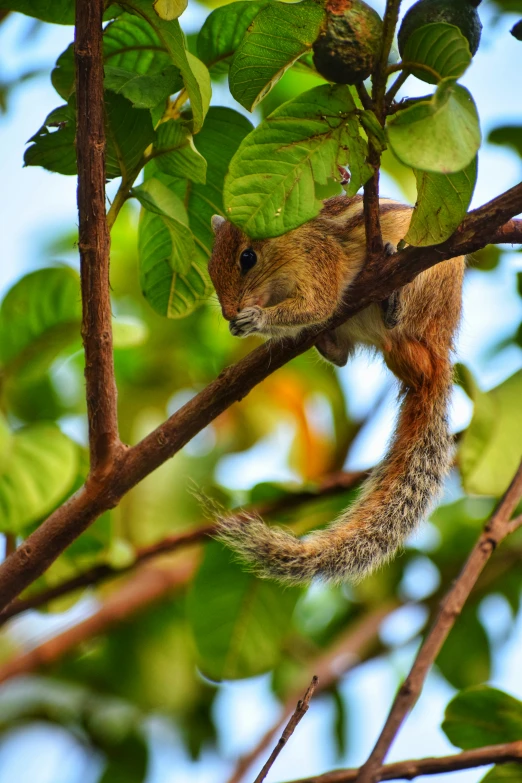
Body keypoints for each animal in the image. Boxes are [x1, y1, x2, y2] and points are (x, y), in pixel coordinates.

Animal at [205, 196, 462, 584]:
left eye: (246, 258)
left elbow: (318, 305)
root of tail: (438, 354)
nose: (228, 313)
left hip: (429, 285)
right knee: (345, 356)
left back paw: (392, 298)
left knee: (401, 323)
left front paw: (256, 319)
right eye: (208, 266)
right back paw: (328, 341)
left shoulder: (318, 262)